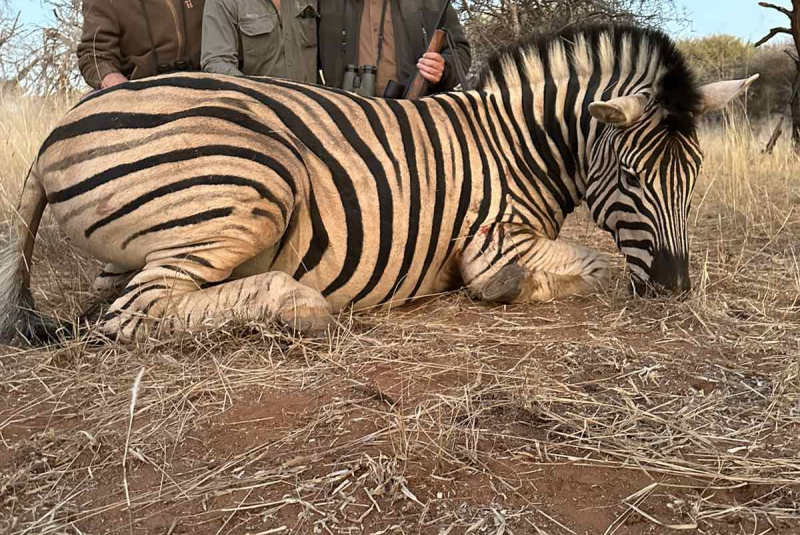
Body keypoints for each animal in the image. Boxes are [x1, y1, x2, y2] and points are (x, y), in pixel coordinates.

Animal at [0, 24, 756, 344]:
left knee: (116, 296)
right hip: (257, 181)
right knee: (134, 312)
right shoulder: (492, 242)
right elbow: (592, 267)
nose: (674, 288)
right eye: (630, 176)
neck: (516, 142)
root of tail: (55, 133)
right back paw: (296, 304)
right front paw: (512, 290)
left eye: (693, 175)